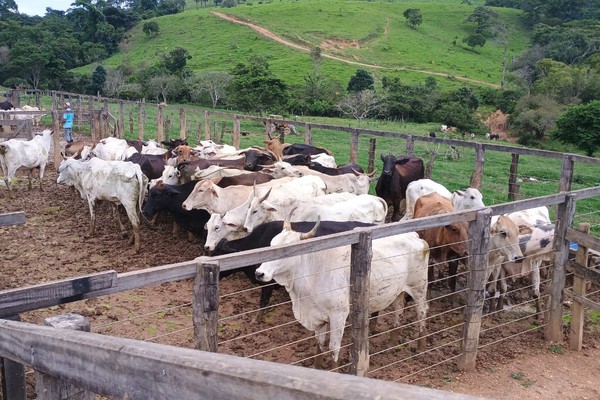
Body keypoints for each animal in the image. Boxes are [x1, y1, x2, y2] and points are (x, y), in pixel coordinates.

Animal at [254, 220, 432, 368]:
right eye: (270, 245)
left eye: (286, 251)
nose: (259, 273)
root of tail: (414, 236)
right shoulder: (318, 316)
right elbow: (319, 344)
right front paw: (316, 367)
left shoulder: (338, 315)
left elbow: (333, 348)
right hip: (398, 291)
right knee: (398, 312)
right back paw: (391, 343)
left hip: (419, 287)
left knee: (422, 312)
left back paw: (421, 348)